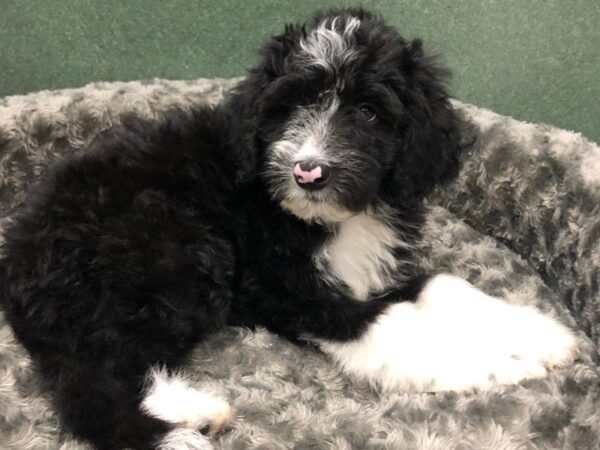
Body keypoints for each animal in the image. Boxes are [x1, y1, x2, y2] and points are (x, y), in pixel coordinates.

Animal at [0, 7, 576, 450]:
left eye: (369, 112)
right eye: (290, 106)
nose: (308, 171)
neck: (334, 219)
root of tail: (20, 261)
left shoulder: (368, 268)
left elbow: (444, 284)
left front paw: (538, 335)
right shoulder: (282, 286)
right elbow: (385, 323)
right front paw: (489, 363)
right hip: (175, 248)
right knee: (92, 375)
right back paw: (186, 421)